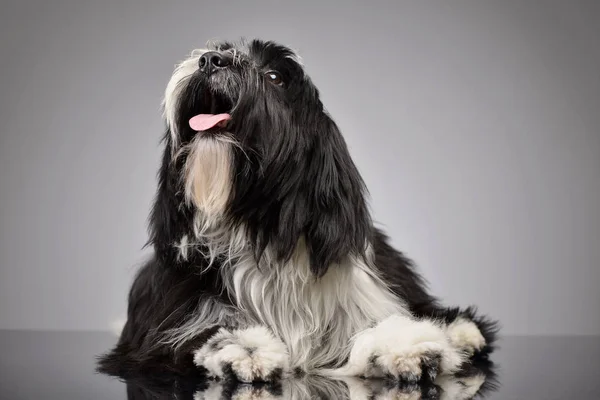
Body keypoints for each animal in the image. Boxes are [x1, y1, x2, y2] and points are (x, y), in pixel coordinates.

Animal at [98, 39, 500, 382]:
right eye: (217, 50)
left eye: (275, 76)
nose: (211, 59)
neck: (258, 229)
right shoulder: (158, 328)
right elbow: (197, 332)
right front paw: (245, 348)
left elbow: (378, 322)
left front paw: (408, 346)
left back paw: (463, 332)